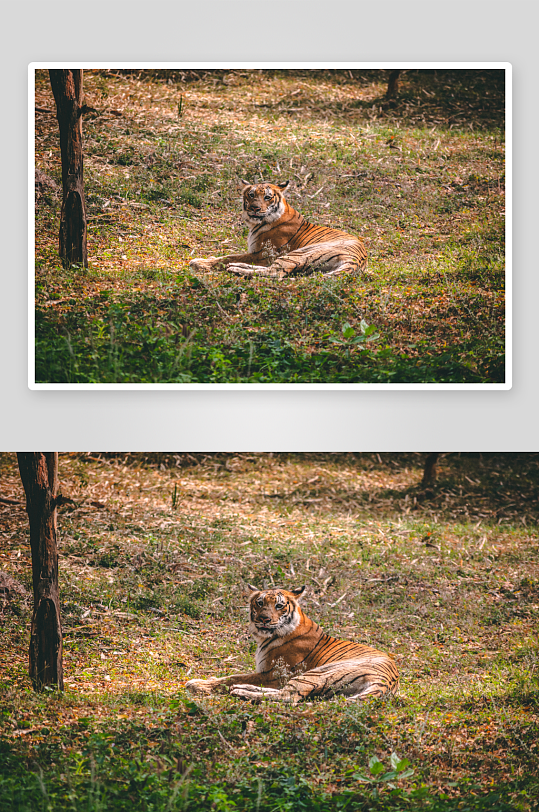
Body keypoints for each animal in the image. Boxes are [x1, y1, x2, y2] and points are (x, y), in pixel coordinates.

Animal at [184, 584, 398, 704]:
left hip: (317, 673)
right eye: (260, 603)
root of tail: (387, 682)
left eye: (279, 606)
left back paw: (240, 691)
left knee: (288, 696)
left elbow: (231, 676)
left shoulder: (276, 673)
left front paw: (198, 684)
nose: (264, 619)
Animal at [188, 179, 370, 280]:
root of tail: (358, 260)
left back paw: (235, 269)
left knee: (275, 272)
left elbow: (227, 257)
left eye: (267, 197)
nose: (254, 208)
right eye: (251, 195)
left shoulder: (264, 254)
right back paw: (237, 266)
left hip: (300, 253)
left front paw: (199, 262)